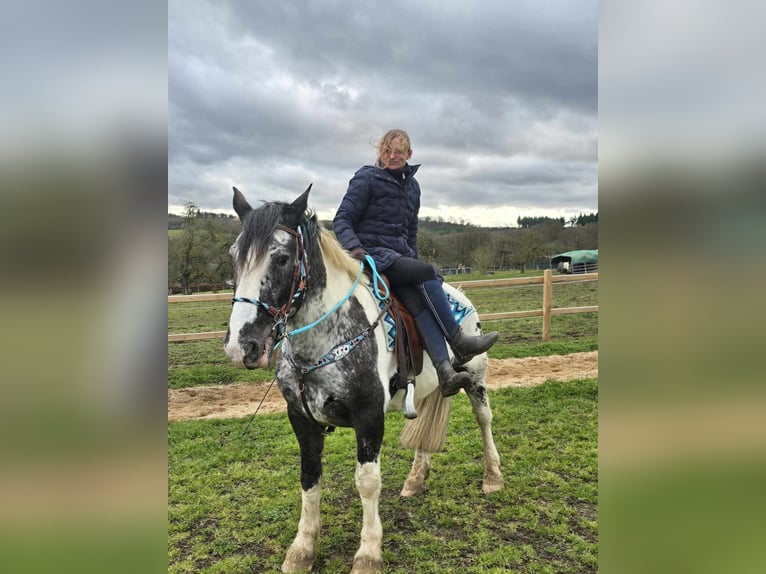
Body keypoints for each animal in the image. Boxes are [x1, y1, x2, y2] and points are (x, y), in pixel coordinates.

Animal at [225, 187, 508, 572]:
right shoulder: (301, 418)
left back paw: (492, 476)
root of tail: (460, 294)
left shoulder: (369, 415)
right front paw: (302, 549)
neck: (322, 344)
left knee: (484, 419)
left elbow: (368, 482)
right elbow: (309, 476)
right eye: (234, 256)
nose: (242, 346)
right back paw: (416, 478)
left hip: (477, 376)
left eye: (282, 258)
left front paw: (369, 552)